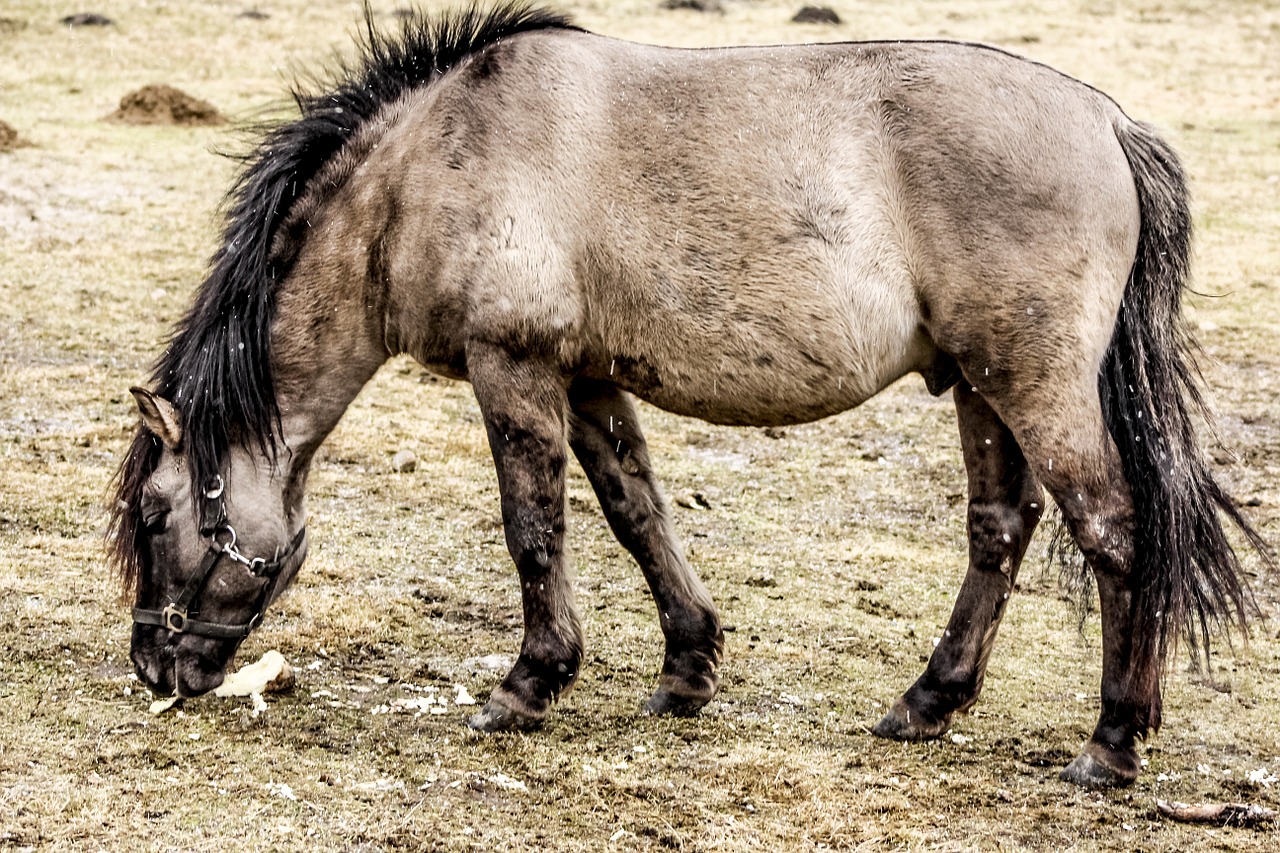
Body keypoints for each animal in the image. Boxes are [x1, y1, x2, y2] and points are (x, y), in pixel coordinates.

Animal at [112, 1, 1269, 783]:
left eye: (157, 513)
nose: (154, 667)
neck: (432, 166)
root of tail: (1108, 121)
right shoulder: (586, 381)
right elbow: (637, 514)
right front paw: (686, 667)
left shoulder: (512, 368)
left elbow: (534, 528)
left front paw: (526, 686)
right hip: (981, 387)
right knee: (1000, 530)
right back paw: (925, 703)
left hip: (1033, 385)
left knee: (1114, 532)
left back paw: (1109, 742)